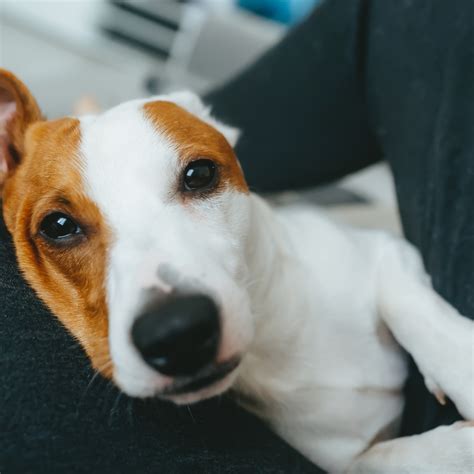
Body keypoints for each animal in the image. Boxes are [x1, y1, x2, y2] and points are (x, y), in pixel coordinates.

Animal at [0, 68, 472, 472]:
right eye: (58, 226)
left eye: (199, 174)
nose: (177, 333)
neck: (279, 334)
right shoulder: (345, 458)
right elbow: (388, 460)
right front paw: (456, 447)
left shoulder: (385, 249)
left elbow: (418, 312)